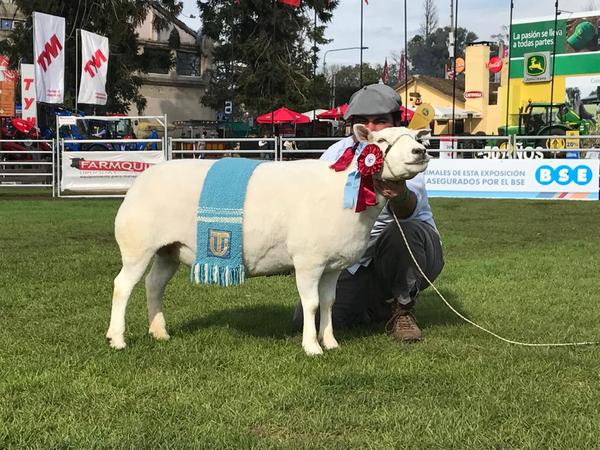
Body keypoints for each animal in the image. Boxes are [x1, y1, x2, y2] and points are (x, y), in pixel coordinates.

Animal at [105, 125, 428, 356]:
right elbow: (311, 304)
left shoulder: (332, 265)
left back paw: (159, 332)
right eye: (382, 140)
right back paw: (117, 339)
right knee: (122, 286)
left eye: (415, 136)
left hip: (167, 250)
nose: (421, 151)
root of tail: (141, 180)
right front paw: (312, 347)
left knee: (153, 285)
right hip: (138, 245)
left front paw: (330, 342)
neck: (346, 189)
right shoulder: (308, 261)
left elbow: (329, 302)